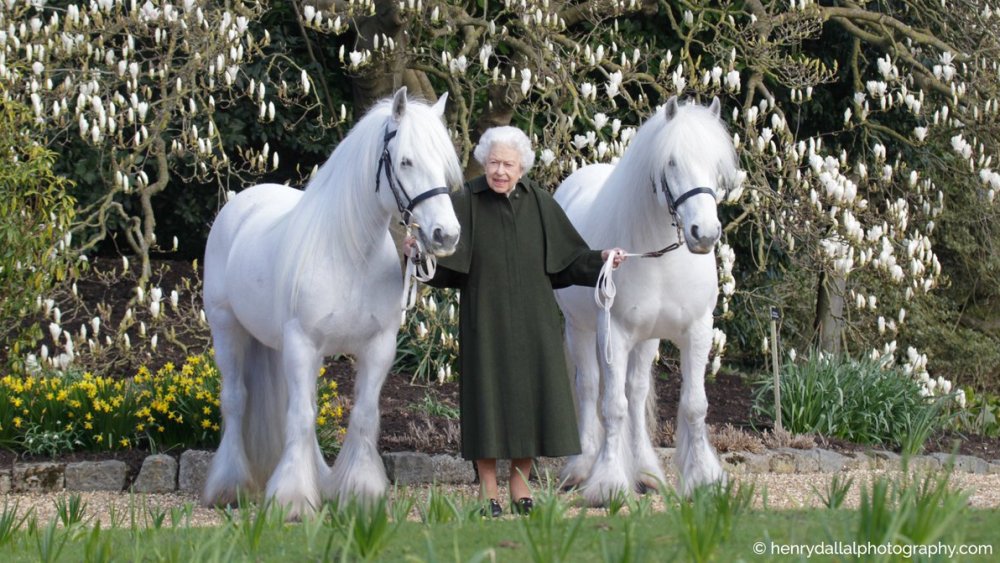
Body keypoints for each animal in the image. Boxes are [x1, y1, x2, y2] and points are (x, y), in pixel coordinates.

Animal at [201, 88, 463, 518]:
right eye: (406, 161)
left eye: (443, 165)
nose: (446, 235)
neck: (349, 254)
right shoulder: (302, 343)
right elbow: (300, 417)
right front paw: (291, 500)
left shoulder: (377, 347)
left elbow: (362, 415)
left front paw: (360, 492)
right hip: (228, 329)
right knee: (236, 401)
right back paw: (229, 486)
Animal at [553, 96, 739, 505]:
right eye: (671, 162)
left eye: (716, 165)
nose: (705, 233)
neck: (660, 257)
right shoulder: (615, 333)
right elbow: (612, 406)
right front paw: (607, 483)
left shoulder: (697, 331)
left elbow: (693, 405)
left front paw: (703, 479)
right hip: (580, 330)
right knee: (590, 388)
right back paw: (581, 467)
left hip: (647, 339)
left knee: (636, 394)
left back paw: (646, 472)